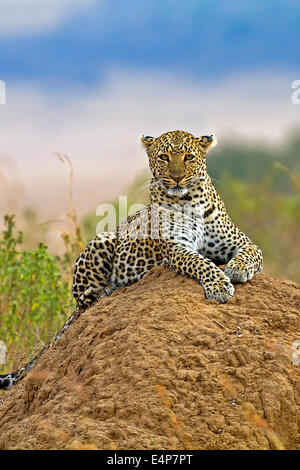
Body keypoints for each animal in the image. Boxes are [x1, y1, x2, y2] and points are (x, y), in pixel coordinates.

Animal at [0, 129, 262, 390]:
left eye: (188, 157)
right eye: (164, 157)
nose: (177, 178)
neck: (190, 203)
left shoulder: (241, 240)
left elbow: (251, 252)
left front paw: (237, 270)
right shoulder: (177, 248)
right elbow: (201, 263)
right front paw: (219, 286)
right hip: (102, 240)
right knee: (85, 301)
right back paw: (108, 291)